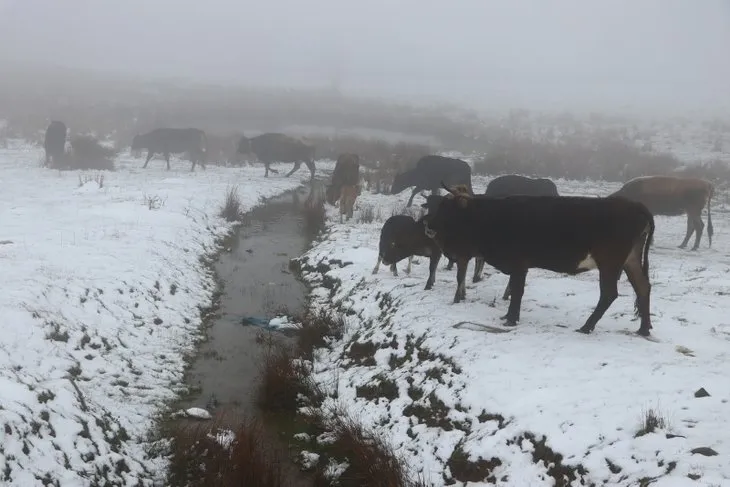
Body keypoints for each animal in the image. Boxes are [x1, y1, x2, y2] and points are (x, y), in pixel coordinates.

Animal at [420, 185, 656, 338]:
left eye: (446, 208)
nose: (427, 225)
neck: (490, 217)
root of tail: (634, 205)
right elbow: (515, 289)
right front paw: (508, 316)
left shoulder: (518, 264)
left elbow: (517, 291)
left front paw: (511, 318)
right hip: (630, 259)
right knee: (643, 286)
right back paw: (644, 328)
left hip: (609, 262)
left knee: (609, 294)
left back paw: (587, 327)